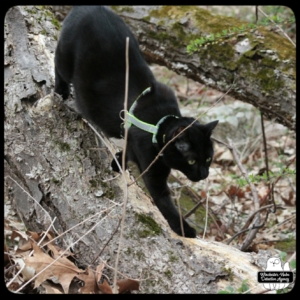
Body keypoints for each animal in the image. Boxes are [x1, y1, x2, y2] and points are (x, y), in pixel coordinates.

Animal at [54, 5, 218, 238]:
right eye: (193, 161)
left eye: (209, 159)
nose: (204, 174)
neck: (158, 125)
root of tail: (92, 7)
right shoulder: (152, 172)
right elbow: (164, 202)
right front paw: (184, 229)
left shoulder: (134, 145)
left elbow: (125, 154)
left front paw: (116, 164)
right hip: (65, 58)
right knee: (57, 66)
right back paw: (61, 91)